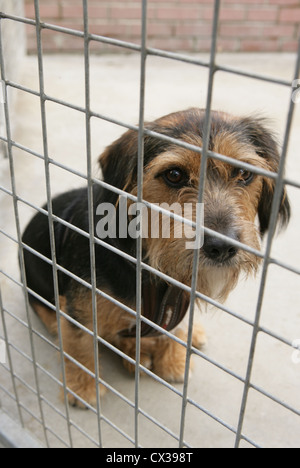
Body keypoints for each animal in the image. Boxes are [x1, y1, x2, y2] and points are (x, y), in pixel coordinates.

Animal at [21, 107, 290, 406]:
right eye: (174, 174)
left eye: (244, 172)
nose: (222, 246)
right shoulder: (81, 307)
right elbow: (80, 343)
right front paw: (83, 387)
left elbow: (174, 326)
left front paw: (173, 358)